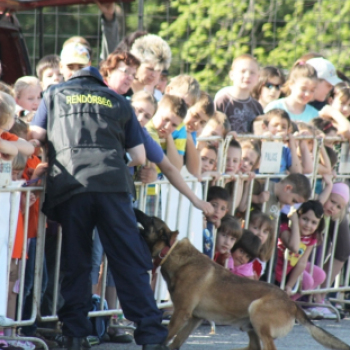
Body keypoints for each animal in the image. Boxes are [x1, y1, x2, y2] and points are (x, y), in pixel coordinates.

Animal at [135, 209, 350, 350]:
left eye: (151, 219)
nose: (135, 209)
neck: (170, 252)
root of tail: (292, 303)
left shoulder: (181, 313)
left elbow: (167, 337)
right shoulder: (194, 318)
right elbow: (176, 341)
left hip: (257, 312)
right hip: (250, 326)